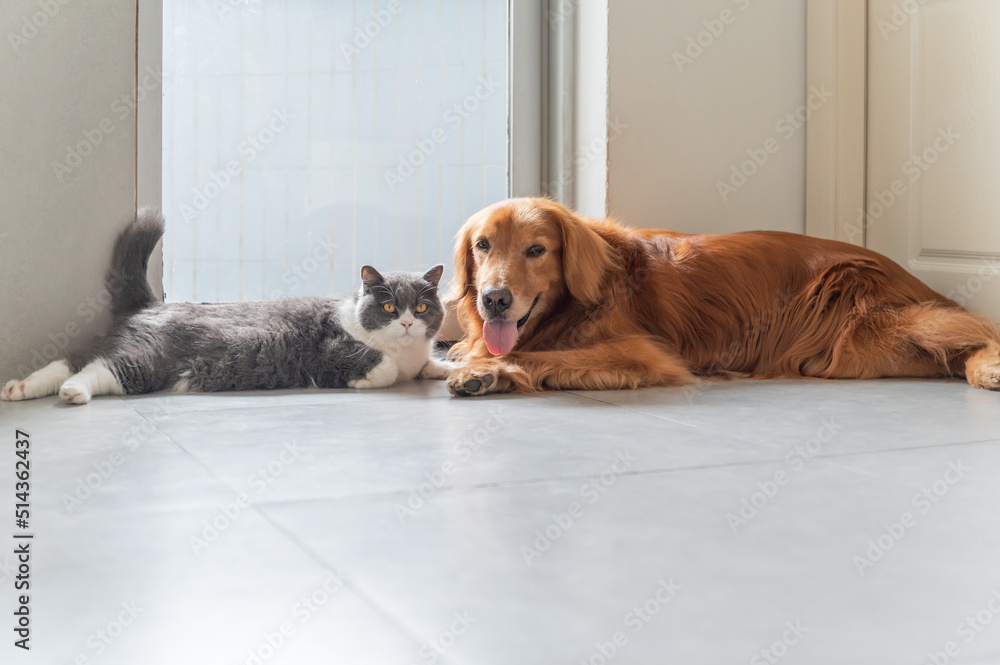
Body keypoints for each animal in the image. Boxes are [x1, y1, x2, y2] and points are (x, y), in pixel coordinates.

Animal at [0, 209, 454, 404]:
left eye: (422, 308)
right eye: (390, 308)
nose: (409, 323)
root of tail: (150, 305)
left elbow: (431, 363)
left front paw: (447, 368)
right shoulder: (335, 349)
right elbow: (383, 367)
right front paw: (370, 376)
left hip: (128, 346)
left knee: (72, 358)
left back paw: (19, 388)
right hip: (148, 361)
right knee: (99, 370)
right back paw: (71, 393)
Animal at [446, 196, 1000, 394]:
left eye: (537, 250)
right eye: (483, 245)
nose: (494, 299)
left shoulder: (644, 354)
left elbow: (540, 356)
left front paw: (483, 369)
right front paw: (479, 368)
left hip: (870, 326)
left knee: (979, 329)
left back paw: (988, 368)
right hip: (858, 353)